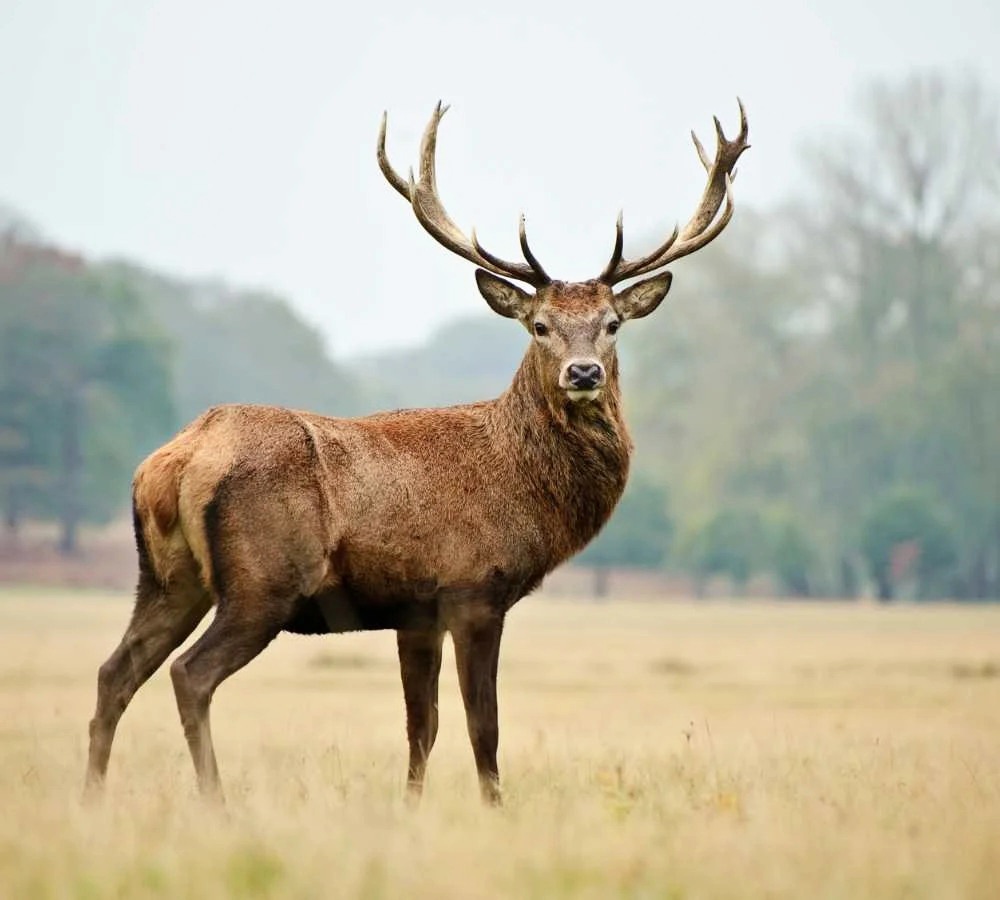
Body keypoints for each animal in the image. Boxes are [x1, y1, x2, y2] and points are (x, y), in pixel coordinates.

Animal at [85, 101, 749, 806]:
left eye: (613, 324)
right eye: (539, 325)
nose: (584, 372)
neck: (525, 487)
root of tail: (174, 461)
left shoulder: (416, 611)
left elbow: (420, 727)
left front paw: (410, 807)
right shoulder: (474, 588)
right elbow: (483, 726)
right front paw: (494, 808)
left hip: (167, 578)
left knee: (114, 672)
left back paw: (91, 797)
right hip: (262, 581)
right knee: (190, 674)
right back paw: (216, 802)